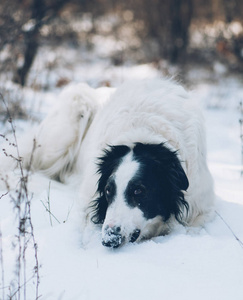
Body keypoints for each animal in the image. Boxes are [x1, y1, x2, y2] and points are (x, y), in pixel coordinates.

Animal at [0, 78, 214, 248]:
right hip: (68, 121)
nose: (109, 239)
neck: (144, 134)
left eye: (139, 191)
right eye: (108, 190)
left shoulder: (201, 204)